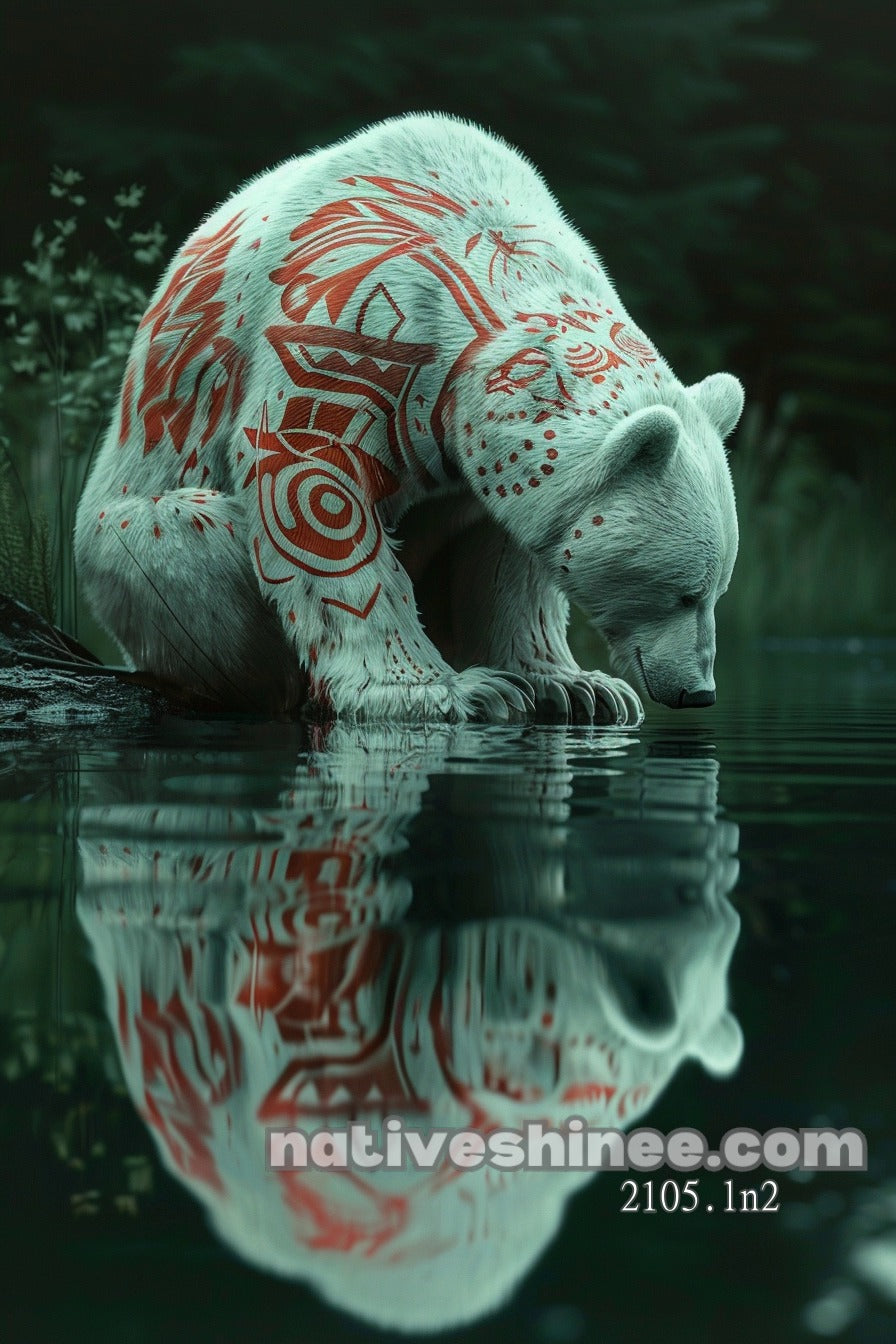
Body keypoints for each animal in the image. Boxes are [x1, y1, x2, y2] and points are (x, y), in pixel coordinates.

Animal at [74, 113, 744, 723]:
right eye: (683, 593)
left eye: (718, 591)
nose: (698, 692)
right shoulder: (348, 320)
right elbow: (314, 487)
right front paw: (451, 691)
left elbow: (505, 553)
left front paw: (580, 688)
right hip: (122, 541)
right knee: (190, 537)